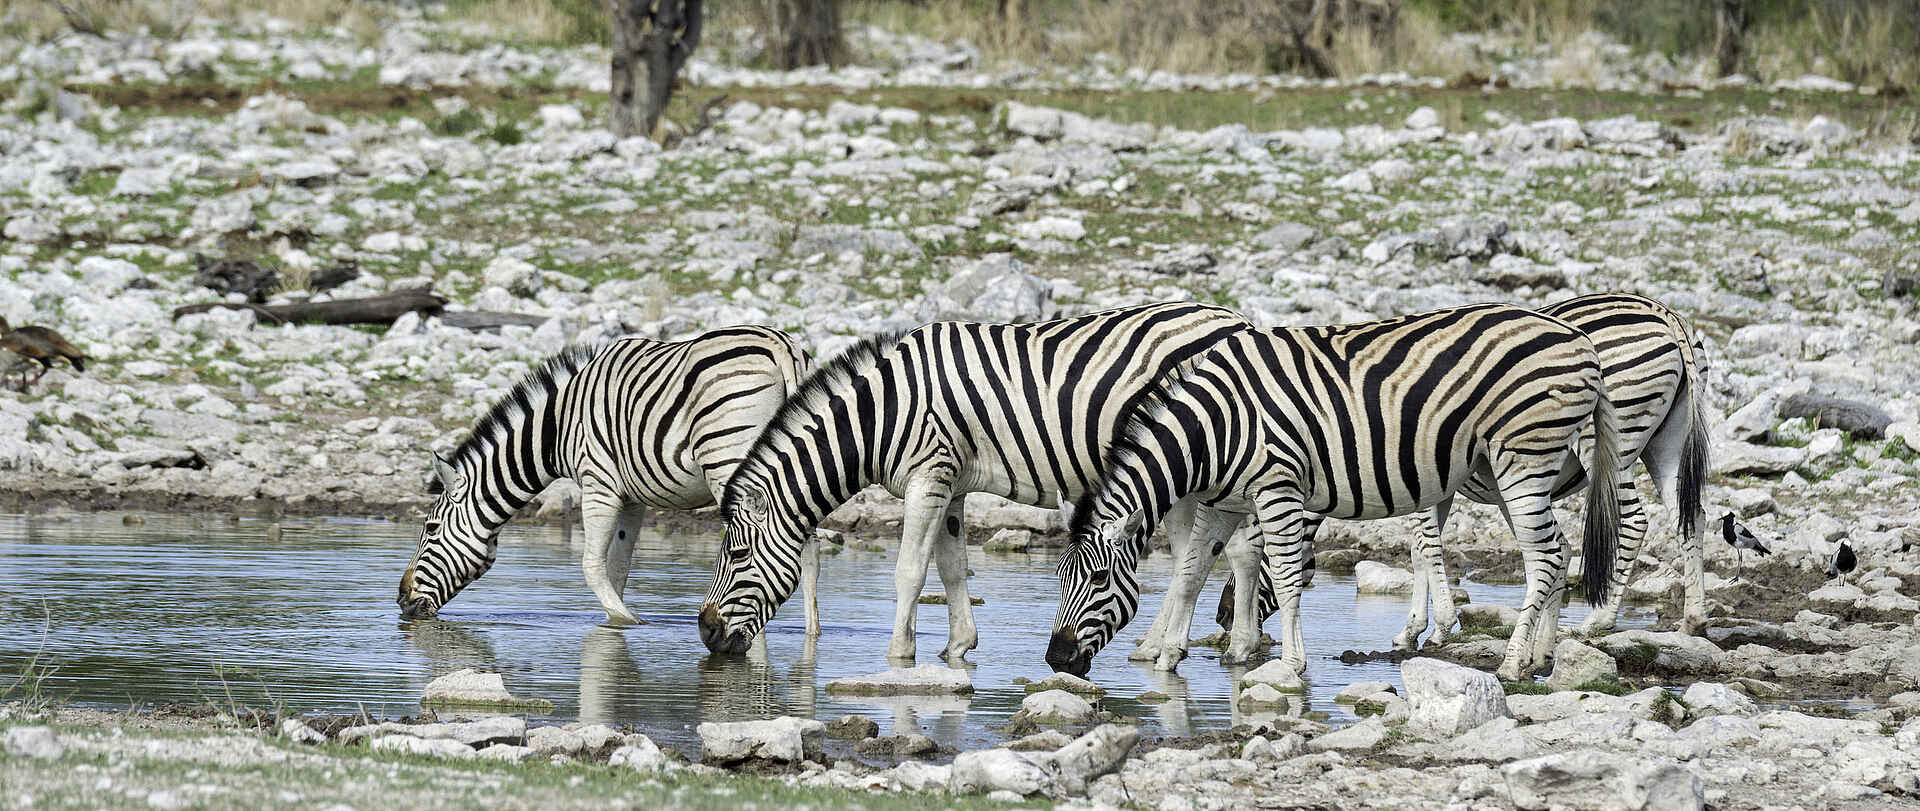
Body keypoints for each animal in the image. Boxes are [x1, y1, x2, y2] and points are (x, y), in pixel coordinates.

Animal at [397, 326, 821, 633]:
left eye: (431, 529)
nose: (401, 601)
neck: (557, 428)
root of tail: (781, 347)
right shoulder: (633, 497)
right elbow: (618, 568)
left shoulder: (598, 482)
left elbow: (592, 565)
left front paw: (628, 621)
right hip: (797, 466)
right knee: (808, 552)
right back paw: (812, 638)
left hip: (732, 461)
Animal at [696, 302, 1253, 661]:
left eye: (737, 554)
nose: (705, 632)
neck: (882, 414)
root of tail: (1236, 319)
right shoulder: (952, 486)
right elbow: (952, 569)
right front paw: (958, 647)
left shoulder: (929, 476)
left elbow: (910, 571)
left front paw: (899, 654)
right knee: (1228, 552)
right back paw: (1231, 647)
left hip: (1185, 465)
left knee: (1197, 558)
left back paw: (1169, 646)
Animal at [1048, 303, 1622, 682]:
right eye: (1060, 580)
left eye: (1099, 580)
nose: (1055, 660)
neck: (1215, 429)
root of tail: (1579, 339)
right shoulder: (1221, 502)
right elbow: (1189, 574)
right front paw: (1168, 657)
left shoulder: (1276, 488)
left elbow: (1284, 579)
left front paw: (1290, 664)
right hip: (1508, 466)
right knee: (1558, 550)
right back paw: (1541, 657)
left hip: (1523, 457)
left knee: (1545, 557)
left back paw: (1512, 662)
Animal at [1206, 293, 1712, 651]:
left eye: (1257, 560)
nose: (1223, 617)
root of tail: (1664, 313)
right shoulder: (1432, 479)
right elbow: (1418, 551)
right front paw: (1416, 628)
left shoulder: (1420, 474)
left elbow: (1424, 547)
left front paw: (1435, 627)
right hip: (1665, 445)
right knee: (1690, 516)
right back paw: (1693, 620)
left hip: (1610, 444)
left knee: (1635, 520)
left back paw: (1599, 620)